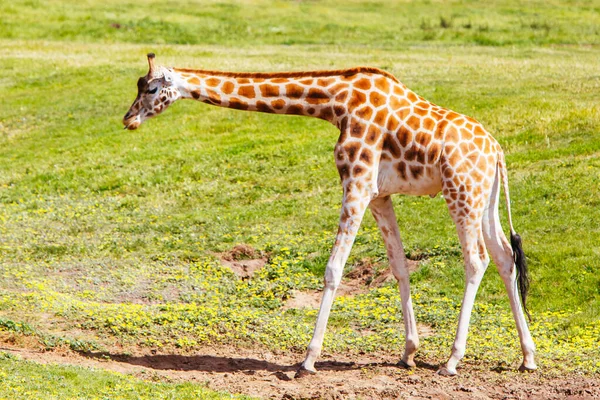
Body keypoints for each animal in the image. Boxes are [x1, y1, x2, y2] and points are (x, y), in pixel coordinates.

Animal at [124, 53, 536, 376]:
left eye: (151, 89)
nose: (128, 119)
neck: (336, 104)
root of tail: (498, 150)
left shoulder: (357, 183)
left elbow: (333, 270)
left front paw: (308, 359)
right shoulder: (379, 194)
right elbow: (399, 266)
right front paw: (408, 352)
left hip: (461, 194)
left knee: (476, 260)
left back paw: (452, 361)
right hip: (484, 200)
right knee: (504, 257)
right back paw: (528, 357)